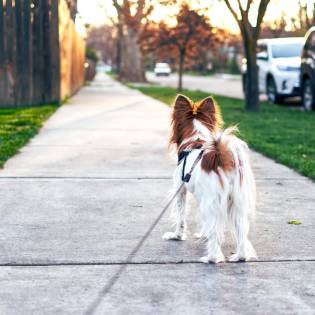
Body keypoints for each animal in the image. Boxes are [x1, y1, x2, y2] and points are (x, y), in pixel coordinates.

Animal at [164, 94, 258, 264]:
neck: (195, 139)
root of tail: (221, 157)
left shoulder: (180, 190)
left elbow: (181, 217)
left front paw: (177, 236)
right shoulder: (202, 197)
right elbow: (204, 222)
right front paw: (203, 234)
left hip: (213, 200)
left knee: (215, 231)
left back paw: (211, 258)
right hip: (236, 202)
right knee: (241, 231)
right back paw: (240, 256)